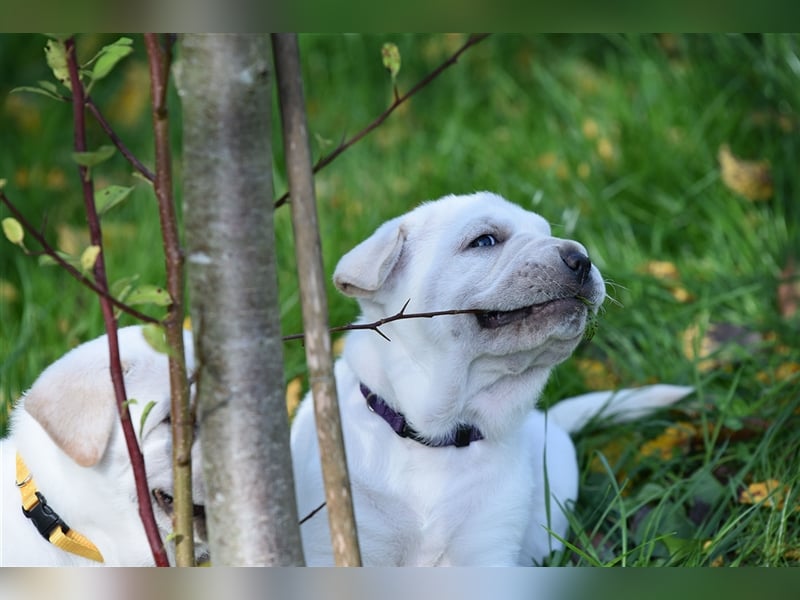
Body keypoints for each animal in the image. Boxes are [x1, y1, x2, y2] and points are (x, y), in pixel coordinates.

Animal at [290, 193, 692, 568]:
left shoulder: (488, 546)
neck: (440, 433)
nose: (582, 258)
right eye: (484, 241)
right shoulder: (345, 540)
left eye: (545, 232)